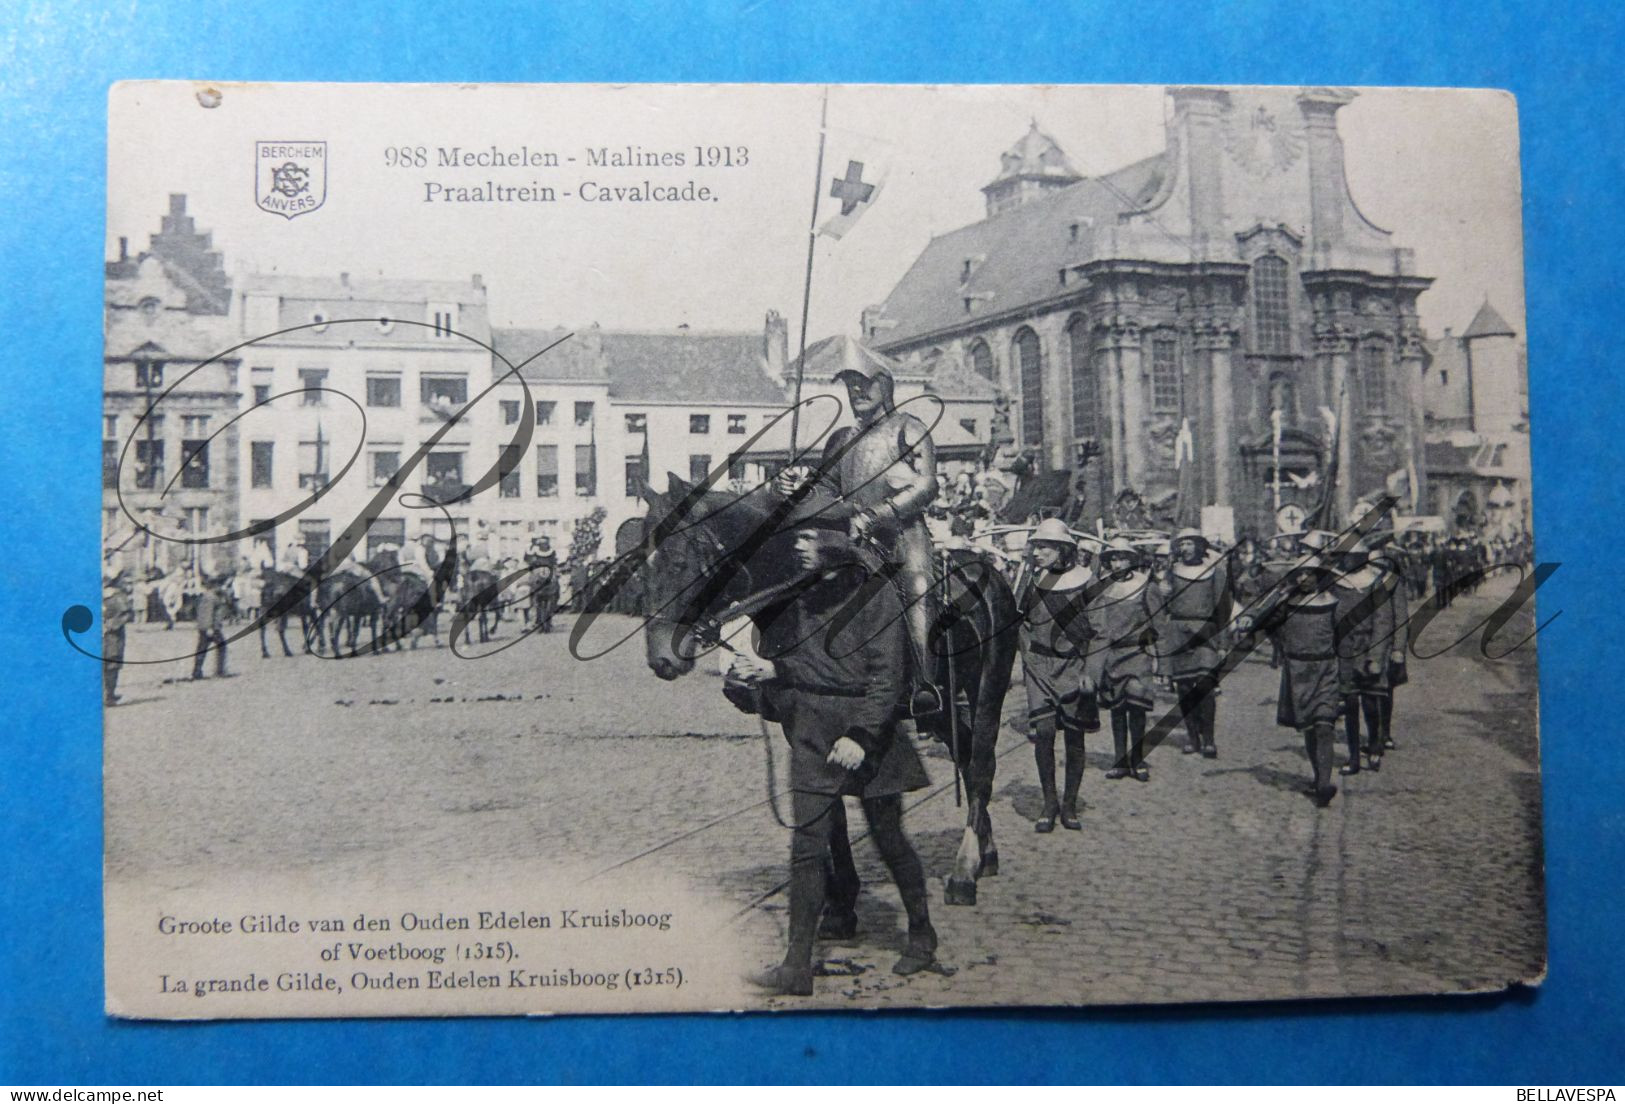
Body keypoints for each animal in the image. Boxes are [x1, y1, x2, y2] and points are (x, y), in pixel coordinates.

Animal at [633, 474, 1014, 904]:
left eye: (679, 561)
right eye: (640, 568)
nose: (662, 658)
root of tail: (990, 571)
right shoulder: (797, 721)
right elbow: (828, 803)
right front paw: (841, 893)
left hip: (987, 691)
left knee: (980, 764)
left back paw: (964, 871)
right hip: (944, 708)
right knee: (965, 755)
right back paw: (986, 851)